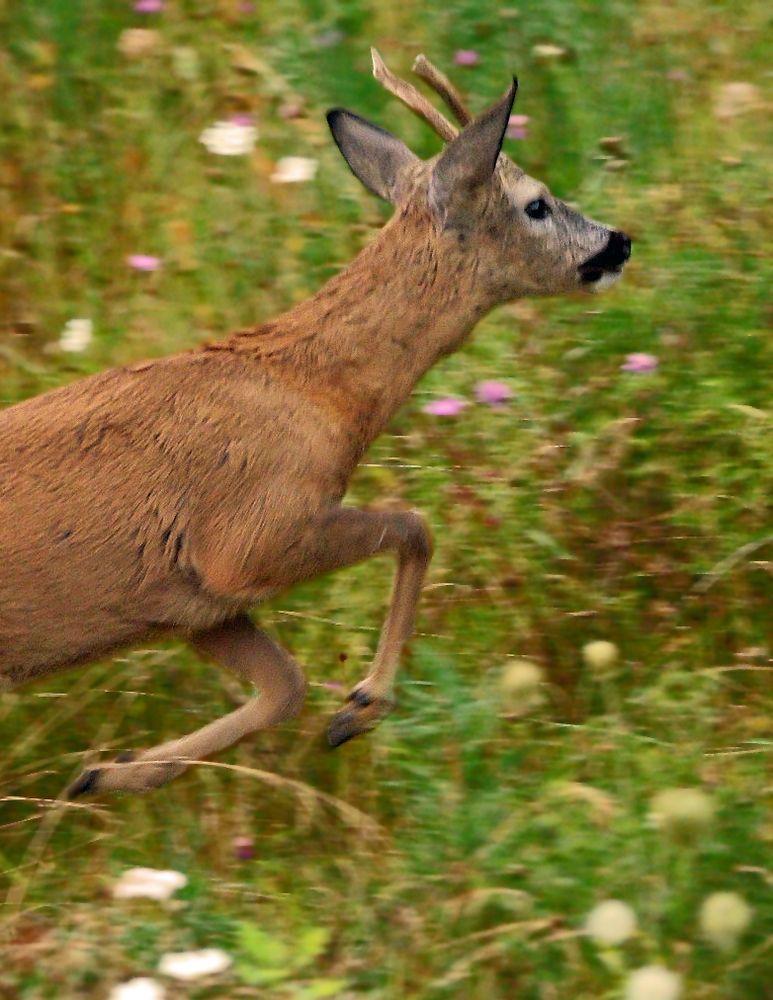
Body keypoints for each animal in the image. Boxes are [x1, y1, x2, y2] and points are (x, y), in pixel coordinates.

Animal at [0, 48, 632, 796]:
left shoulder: (193, 603)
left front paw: (108, 773)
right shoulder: (250, 537)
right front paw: (361, 705)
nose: (618, 242)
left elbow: (286, 686)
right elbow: (414, 527)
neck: (317, 389)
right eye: (536, 203)